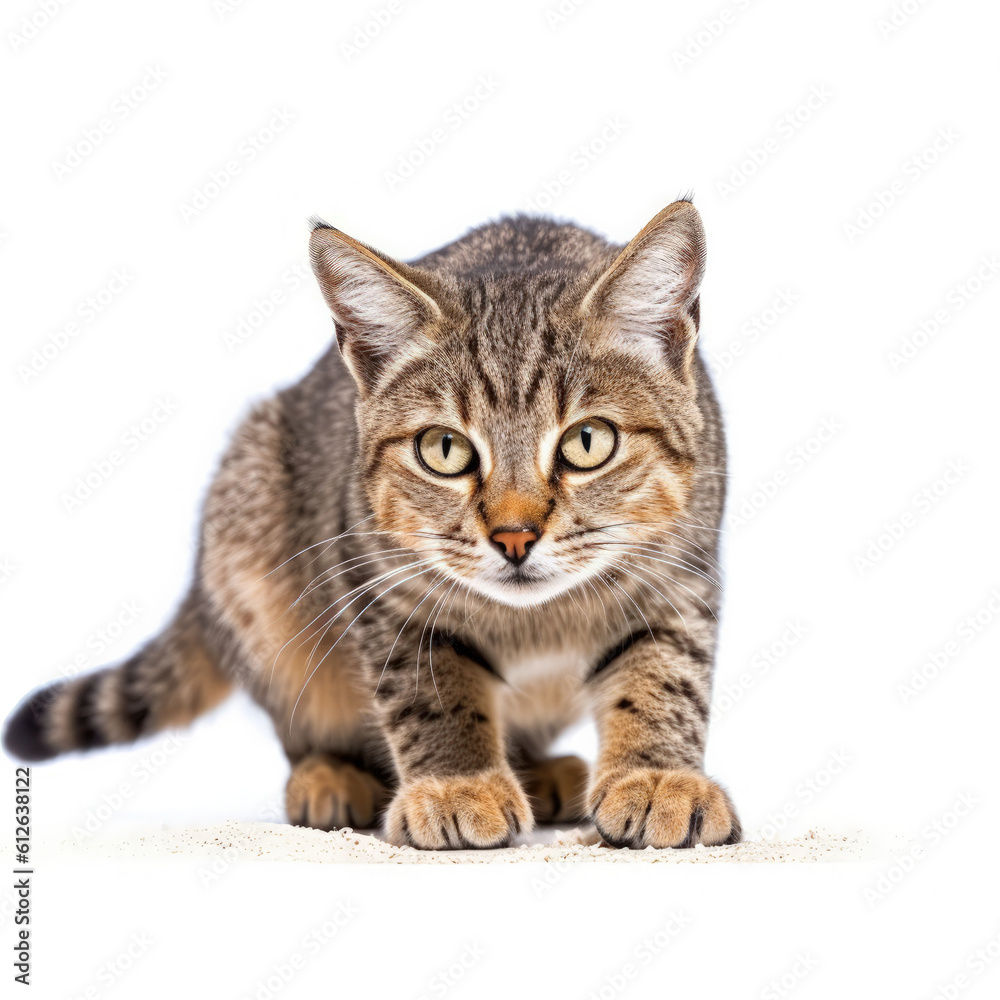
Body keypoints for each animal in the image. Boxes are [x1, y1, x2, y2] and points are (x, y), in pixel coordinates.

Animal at [3, 197, 740, 852]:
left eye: (588, 442)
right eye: (444, 450)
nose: (514, 536)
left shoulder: (680, 572)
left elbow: (664, 676)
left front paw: (657, 776)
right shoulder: (382, 583)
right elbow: (432, 690)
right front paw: (457, 784)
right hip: (251, 543)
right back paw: (329, 776)